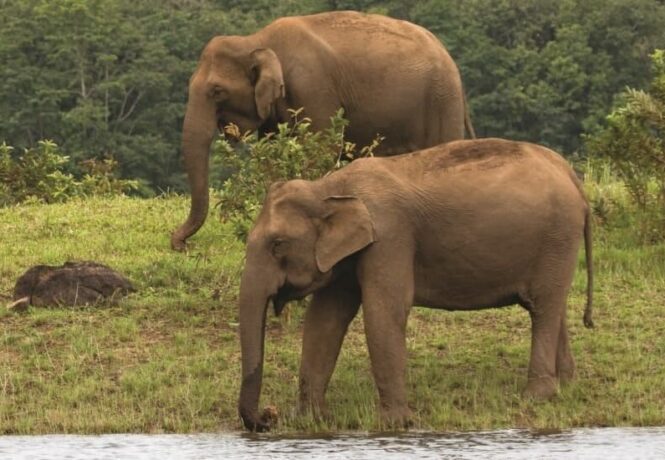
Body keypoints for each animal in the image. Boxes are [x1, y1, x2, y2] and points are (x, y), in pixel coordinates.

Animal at [171, 9, 472, 250]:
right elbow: (272, 150)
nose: (180, 244)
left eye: (216, 91)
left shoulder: (312, 87)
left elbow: (323, 148)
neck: (257, 40)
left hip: (441, 100)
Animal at [237, 137, 592, 432]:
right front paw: (309, 420)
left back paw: (537, 396)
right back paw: (567, 384)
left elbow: (384, 311)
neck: (328, 187)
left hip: (558, 236)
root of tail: (571, 174)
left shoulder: (390, 236)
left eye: (277, 245)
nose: (269, 416)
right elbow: (324, 319)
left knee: (543, 307)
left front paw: (395, 424)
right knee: (551, 306)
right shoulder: (349, 255)